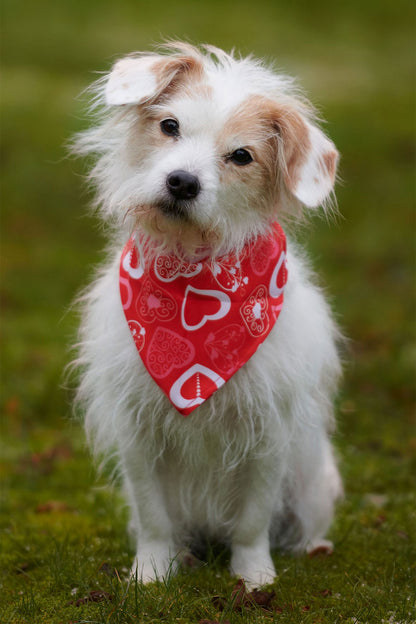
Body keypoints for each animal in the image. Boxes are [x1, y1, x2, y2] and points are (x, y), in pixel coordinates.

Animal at [73, 41, 342, 588]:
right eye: (169, 125)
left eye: (242, 155)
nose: (182, 182)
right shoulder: (137, 430)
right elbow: (153, 517)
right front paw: (152, 573)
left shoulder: (269, 434)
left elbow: (253, 522)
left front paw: (254, 577)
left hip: (314, 482)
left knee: (304, 523)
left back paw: (314, 548)